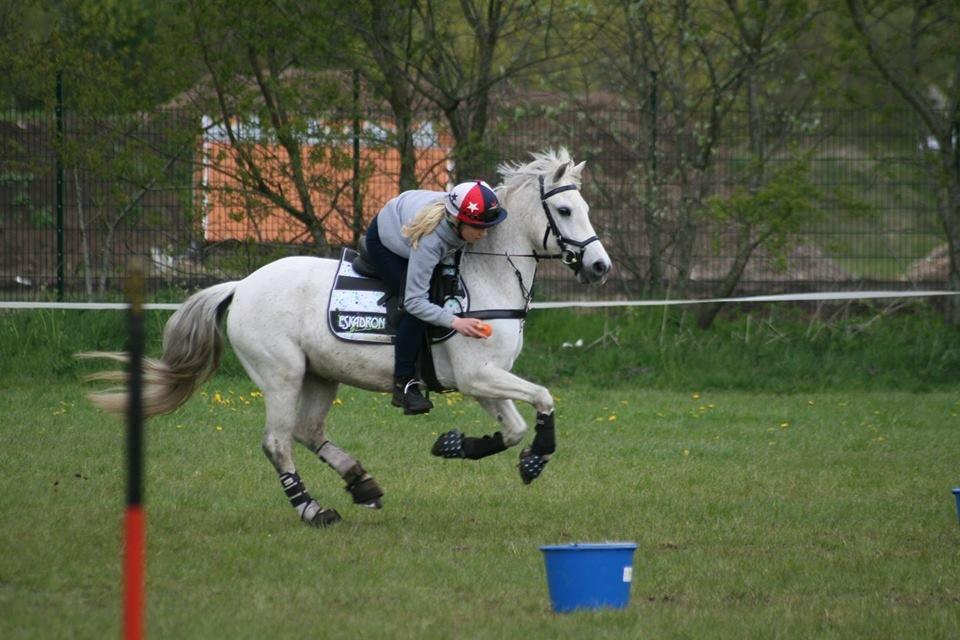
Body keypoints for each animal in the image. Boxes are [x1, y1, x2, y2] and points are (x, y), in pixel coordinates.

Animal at [86, 149, 612, 524]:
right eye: (565, 210)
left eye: (585, 207)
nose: (599, 266)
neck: (488, 273)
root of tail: (242, 284)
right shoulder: (477, 376)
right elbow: (542, 398)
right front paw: (537, 457)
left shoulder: (484, 380)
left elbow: (514, 428)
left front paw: (458, 446)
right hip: (282, 376)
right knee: (278, 442)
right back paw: (313, 509)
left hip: (321, 375)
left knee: (308, 431)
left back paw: (361, 483)